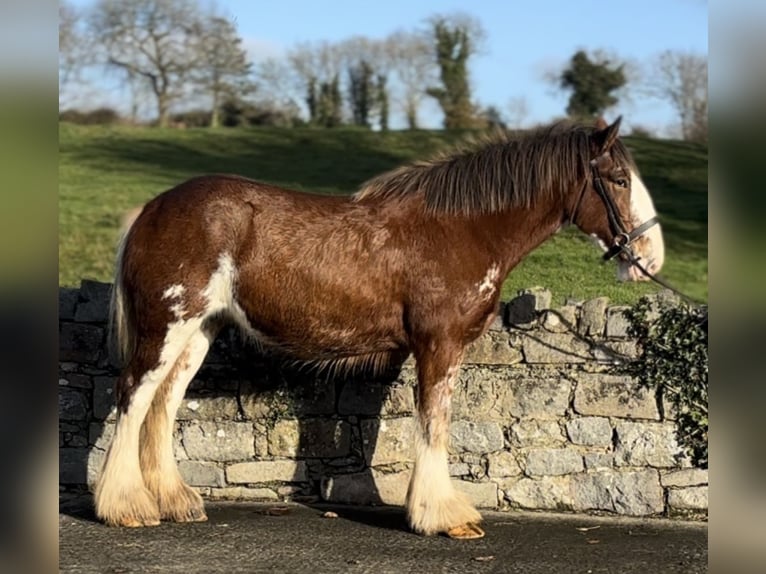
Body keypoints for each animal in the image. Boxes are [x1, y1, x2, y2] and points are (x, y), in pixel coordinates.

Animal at [93, 116, 664, 540]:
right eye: (618, 180)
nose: (650, 257)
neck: (462, 229)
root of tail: (153, 208)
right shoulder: (439, 346)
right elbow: (434, 423)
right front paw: (442, 516)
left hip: (198, 331)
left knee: (163, 403)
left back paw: (174, 501)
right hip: (167, 325)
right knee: (133, 395)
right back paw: (125, 506)